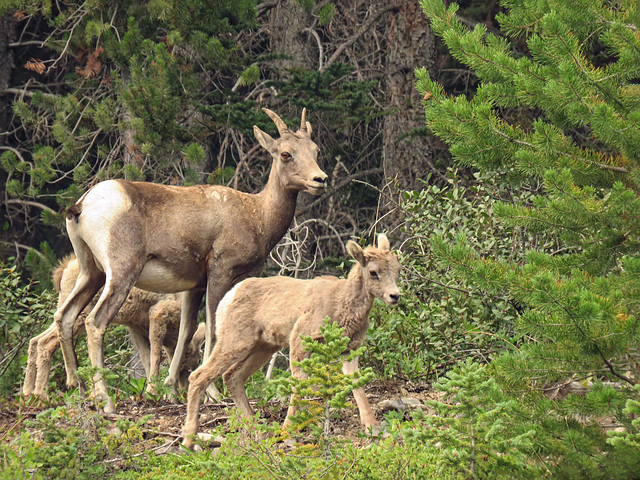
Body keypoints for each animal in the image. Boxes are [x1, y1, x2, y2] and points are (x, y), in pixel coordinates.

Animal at [23, 256, 204, 400]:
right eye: (190, 364)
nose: (184, 389)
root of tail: (62, 271)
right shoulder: (158, 312)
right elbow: (156, 353)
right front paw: (154, 391)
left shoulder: (135, 327)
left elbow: (145, 357)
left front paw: (151, 392)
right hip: (81, 315)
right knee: (46, 341)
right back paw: (42, 392)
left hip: (63, 304)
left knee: (35, 339)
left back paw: (28, 392)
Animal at [53, 109, 330, 412]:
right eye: (285, 153)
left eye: (315, 150)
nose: (319, 179)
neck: (257, 216)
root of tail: (82, 206)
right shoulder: (221, 272)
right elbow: (213, 329)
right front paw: (213, 393)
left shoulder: (193, 286)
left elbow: (187, 331)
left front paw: (169, 389)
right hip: (121, 273)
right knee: (95, 321)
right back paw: (105, 401)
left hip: (91, 272)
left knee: (64, 316)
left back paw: (79, 391)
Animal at [181, 234, 400, 448]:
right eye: (373, 272)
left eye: (397, 268)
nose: (395, 295)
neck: (342, 306)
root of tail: (227, 299)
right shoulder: (300, 338)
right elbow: (299, 382)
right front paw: (288, 434)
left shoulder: (349, 349)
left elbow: (357, 385)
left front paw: (375, 430)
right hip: (235, 341)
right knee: (198, 376)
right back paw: (189, 441)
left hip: (264, 346)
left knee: (232, 377)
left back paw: (260, 433)